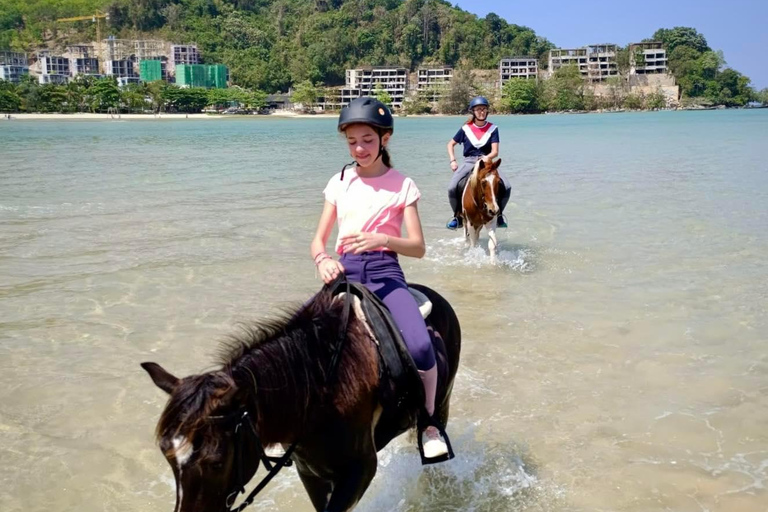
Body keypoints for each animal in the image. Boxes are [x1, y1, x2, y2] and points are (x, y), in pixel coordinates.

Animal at [141, 282, 460, 512]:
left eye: (217, 462)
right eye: (168, 458)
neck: (320, 392)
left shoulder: (360, 470)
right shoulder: (312, 473)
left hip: (442, 402)